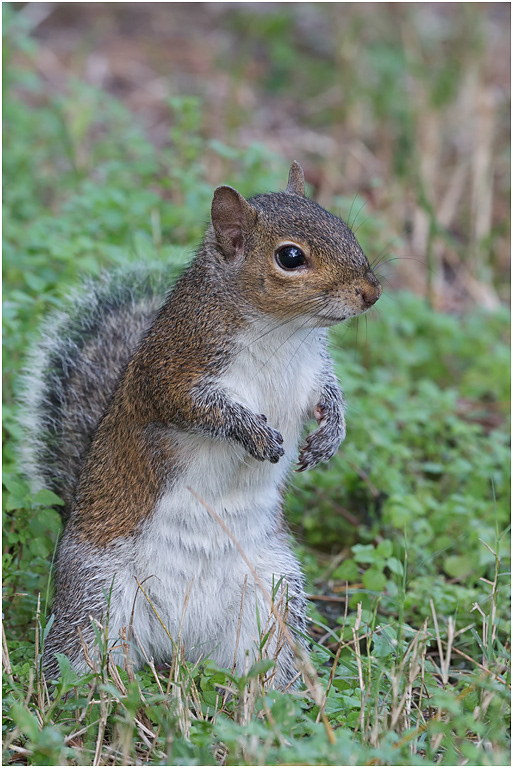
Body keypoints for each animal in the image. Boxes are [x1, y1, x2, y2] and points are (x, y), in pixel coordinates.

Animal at [20, 162, 381, 688]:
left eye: (343, 227)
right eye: (290, 257)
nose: (371, 293)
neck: (282, 333)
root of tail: (177, 638)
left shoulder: (312, 372)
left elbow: (328, 397)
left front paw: (331, 434)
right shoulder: (170, 369)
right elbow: (200, 409)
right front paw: (254, 433)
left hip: (271, 599)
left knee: (263, 662)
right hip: (97, 598)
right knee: (79, 656)